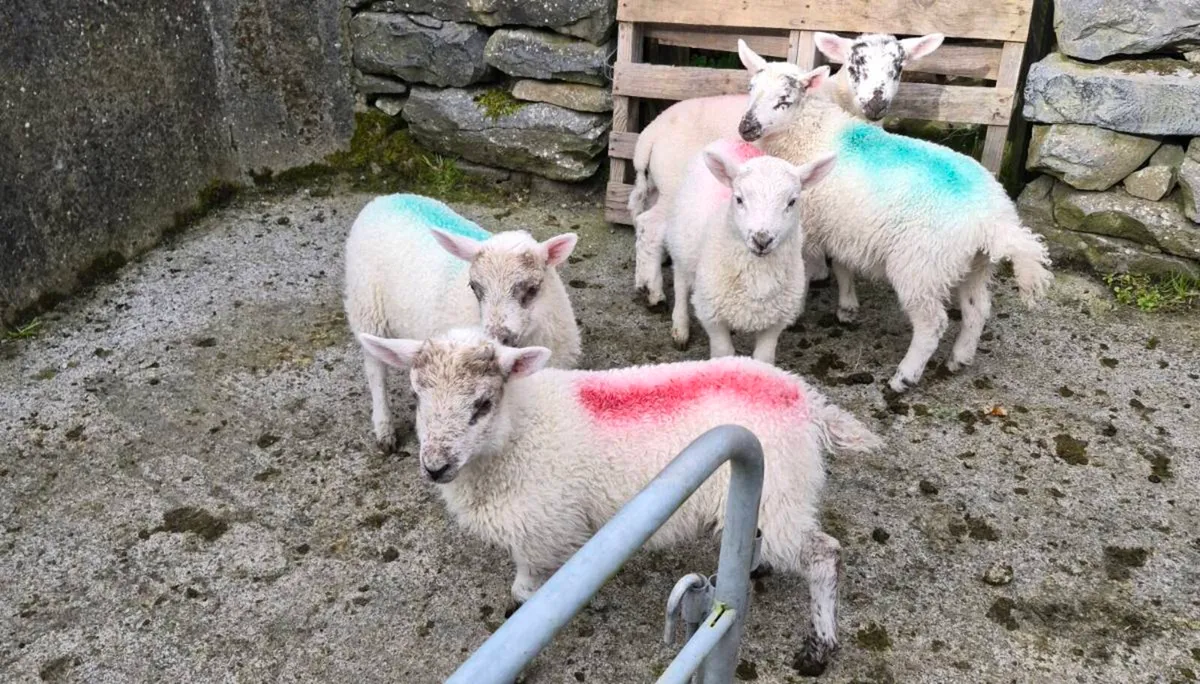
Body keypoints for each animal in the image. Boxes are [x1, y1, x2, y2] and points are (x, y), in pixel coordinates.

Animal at [343, 194, 581, 451]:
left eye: (533, 289)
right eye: (474, 287)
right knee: (375, 369)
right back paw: (384, 428)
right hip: (366, 307)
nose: (498, 336)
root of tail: (385, 198)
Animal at [356, 326, 884, 673]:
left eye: (482, 404)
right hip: (776, 494)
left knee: (824, 555)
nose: (434, 466)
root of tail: (807, 398)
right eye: (417, 397)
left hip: (781, 491)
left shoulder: (542, 526)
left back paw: (820, 645)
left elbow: (526, 593)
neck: (520, 429)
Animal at [630, 32, 945, 305]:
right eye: (855, 66)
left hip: (659, 184)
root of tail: (650, 134)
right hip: (673, 184)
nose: (876, 104)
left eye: (898, 67)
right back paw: (654, 294)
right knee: (651, 225)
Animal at [664, 138, 837, 365]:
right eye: (739, 199)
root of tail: (730, 140)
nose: (762, 240)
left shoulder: (775, 320)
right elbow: (723, 352)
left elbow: (763, 359)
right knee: (681, 281)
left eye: (792, 202)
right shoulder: (711, 314)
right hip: (681, 242)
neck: (757, 276)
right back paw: (680, 327)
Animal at [735, 41, 1054, 393]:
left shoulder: (810, 225)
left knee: (932, 324)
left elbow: (806, 273)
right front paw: (847, 306)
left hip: (921, 266)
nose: (746, 127)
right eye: (751, 88)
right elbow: (843, 265)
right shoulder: (843, 225)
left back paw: (905, 376)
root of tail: (995, 220)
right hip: (975, 264)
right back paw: (959, 358)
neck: (808, 133)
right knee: (977, 310)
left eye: (784, 100)